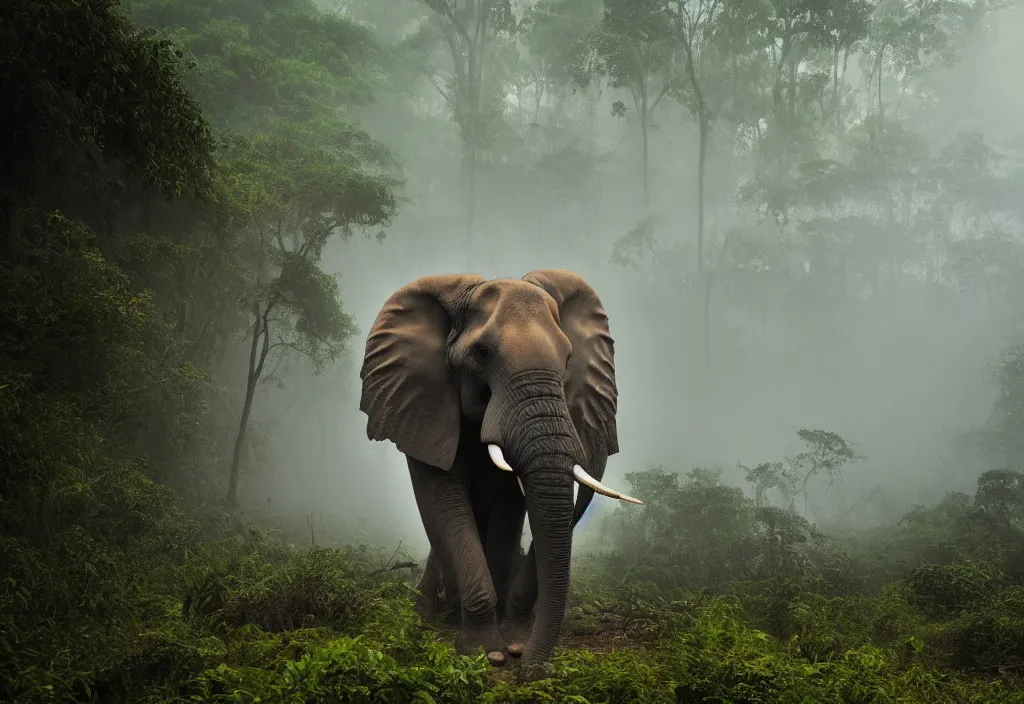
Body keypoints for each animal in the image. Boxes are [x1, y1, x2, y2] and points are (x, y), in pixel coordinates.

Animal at [360, 268, 638, 667]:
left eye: (568, 357)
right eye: (481, 354)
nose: (528, 667)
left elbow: (509, 509)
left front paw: (513, 641)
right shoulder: (423, 405)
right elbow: (445, 503)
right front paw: (487, 652)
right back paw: (431, 613)